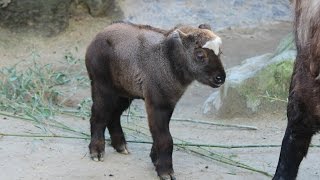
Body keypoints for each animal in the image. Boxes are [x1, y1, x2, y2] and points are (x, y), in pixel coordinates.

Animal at [85, 21, 225, 179]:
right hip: (102, 86)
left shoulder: (168, 103)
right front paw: (165, 171)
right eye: (200, 55)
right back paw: (96, 151)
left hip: (123, 92)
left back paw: (120, 146)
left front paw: (155, 158)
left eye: (220, 53)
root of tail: (95, 39)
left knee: (113, 115)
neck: (169, 58)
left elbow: (159, 134)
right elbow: (165, 139)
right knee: (98, 116)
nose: (220, 78)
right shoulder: (157, 102)